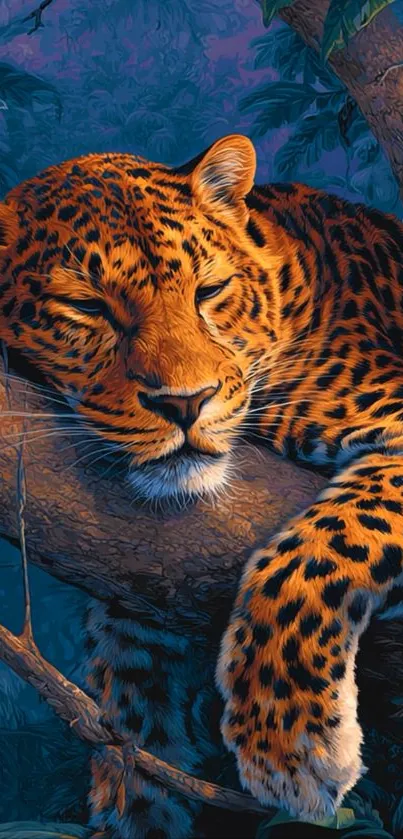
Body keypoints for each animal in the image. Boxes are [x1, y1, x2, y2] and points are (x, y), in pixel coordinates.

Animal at [1, 133, 403, 837]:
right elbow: (128, 691)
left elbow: (320, 551)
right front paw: (133, 805)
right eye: (87, 307)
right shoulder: (139, 600)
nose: (185, 403)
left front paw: (292, 746)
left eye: (209, 291)